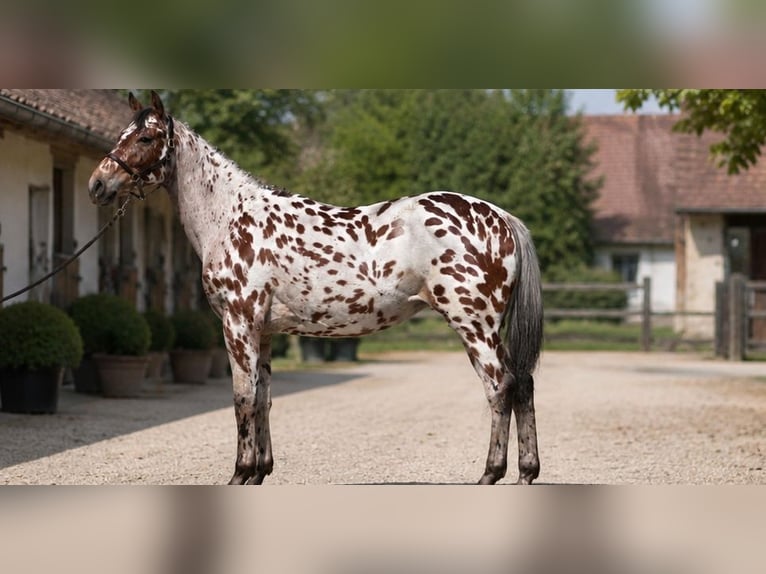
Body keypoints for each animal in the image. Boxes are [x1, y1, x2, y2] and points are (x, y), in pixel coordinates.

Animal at [88, 91, 543, 485]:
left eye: (146, 138)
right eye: (122, 134)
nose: (97, 185)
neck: (230, 217)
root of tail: (500, 217)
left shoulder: (238, 325)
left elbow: (242, 399)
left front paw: (240, 473)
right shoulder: (263, 331)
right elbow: (264, 398)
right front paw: (260, 472)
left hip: (473, 324)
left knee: (500, 387)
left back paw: (490, 474)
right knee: (522, 383)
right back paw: (526, 473)